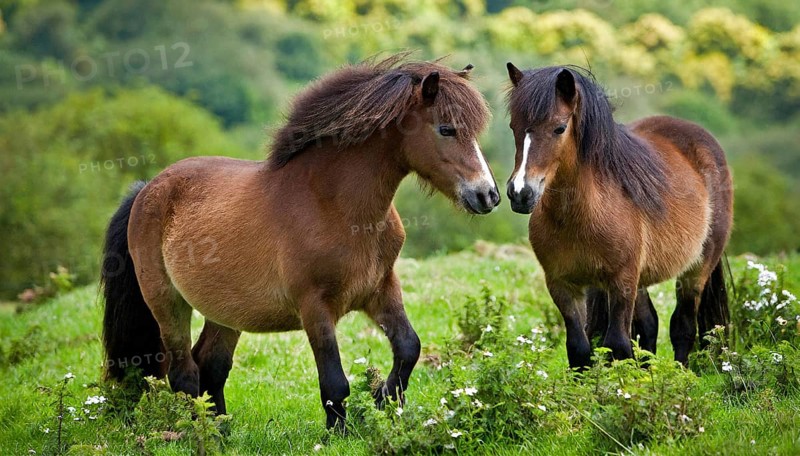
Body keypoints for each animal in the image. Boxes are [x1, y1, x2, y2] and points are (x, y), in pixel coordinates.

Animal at [100, 54, 499, 430]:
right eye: (446, 129)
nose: (488, 195)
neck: (336, 207)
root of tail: (147, 189)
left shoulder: (380, 289)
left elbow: (408, 348)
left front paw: (384, 400)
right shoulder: (315, 307)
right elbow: (335, 381)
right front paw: (339, 434)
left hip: (225, 311)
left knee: (210, 365)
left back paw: (223, 432)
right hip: (166, 301)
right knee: (183, 372)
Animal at [504, 63, 733, 369]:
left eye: (559, 128)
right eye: (513, 127)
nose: (520, 193)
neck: (582, 216)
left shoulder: (621, 281)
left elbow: (618, 344)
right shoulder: (562, 284)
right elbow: (579, 348)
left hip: (696, 270)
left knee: (682, 326)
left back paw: (680, 372)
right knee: (650, 325)